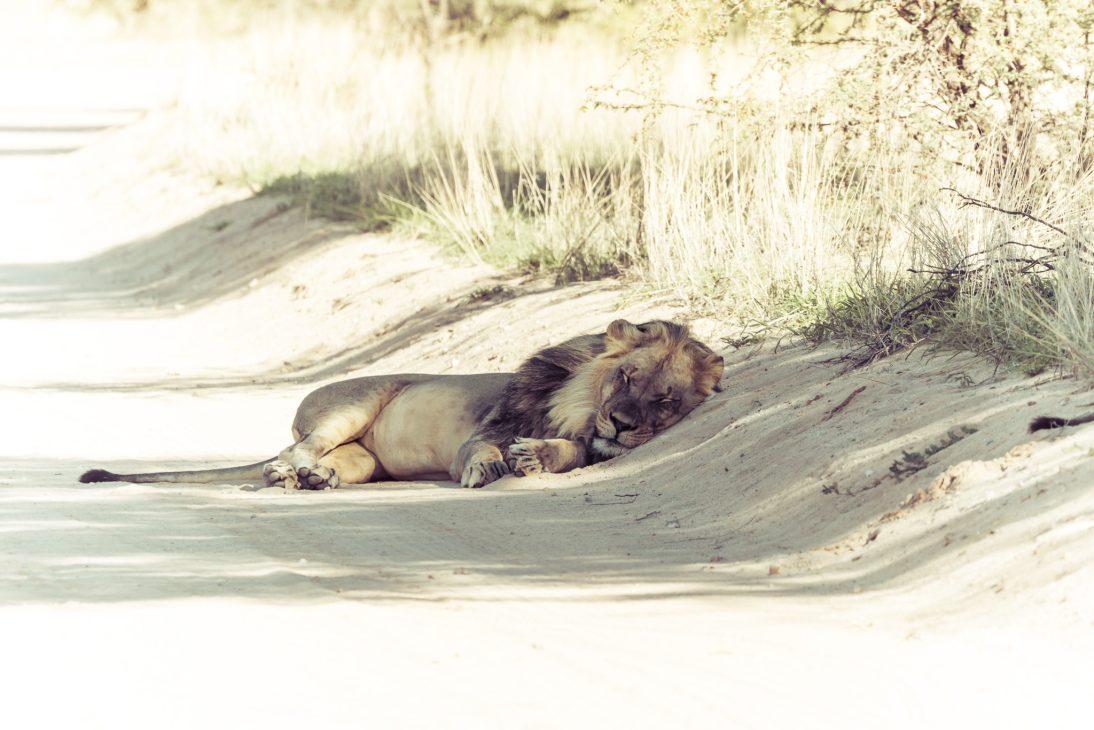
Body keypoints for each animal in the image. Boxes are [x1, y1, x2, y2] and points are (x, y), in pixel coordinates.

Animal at [79, 319, 724, 489]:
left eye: (665, 400)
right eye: (625, 376)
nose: (620, 422)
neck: (579, 404)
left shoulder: (586, 443)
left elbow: (570, 452)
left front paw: (536, 457)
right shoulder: (485, 429)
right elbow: (483, 449)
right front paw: (491, 467)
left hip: (365, 459)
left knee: (326, 461)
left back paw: (314, 481)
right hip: (351, 405)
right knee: (293, 449)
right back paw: (288, 472)